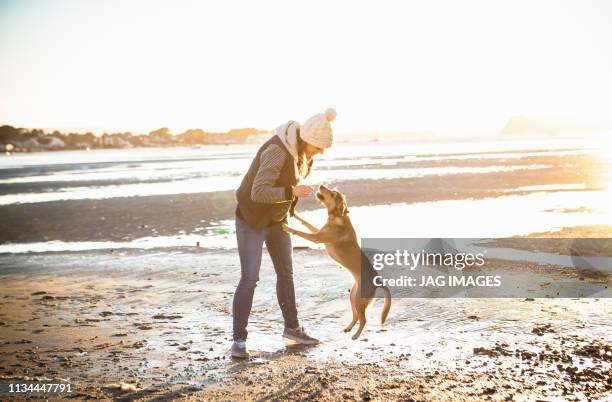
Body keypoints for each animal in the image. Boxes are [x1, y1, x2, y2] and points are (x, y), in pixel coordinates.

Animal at [284, 185, 392, 340]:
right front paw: (296, 215)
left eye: (332, 194)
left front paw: (286, 227)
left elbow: (300, 232)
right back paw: (348, 328)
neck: (337, 217)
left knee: (363, 319)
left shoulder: (316, 238)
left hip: (359, 300)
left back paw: (356, 335)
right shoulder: (318, 233)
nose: (321, 185)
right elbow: (307, 223)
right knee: (356, 317)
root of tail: (377, 281)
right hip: (353, 297)